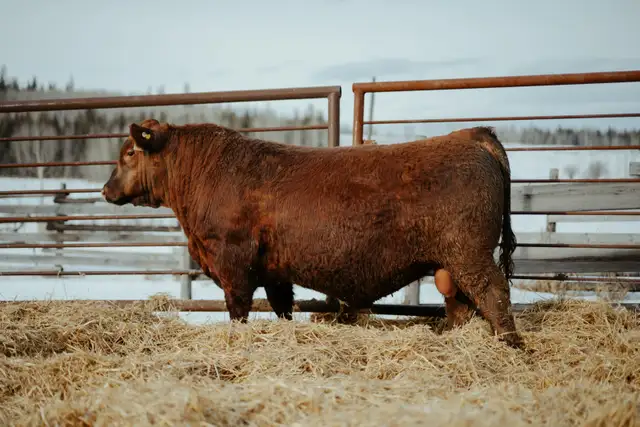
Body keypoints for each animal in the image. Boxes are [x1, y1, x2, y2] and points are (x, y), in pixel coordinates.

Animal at [101, 119, 523, 349]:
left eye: (129, 153)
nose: (105, 190)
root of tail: (471, 135)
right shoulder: (274, 273)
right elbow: (283, 308)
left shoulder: (233, 265)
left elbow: (238, 312)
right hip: (450, 264)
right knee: (461, 305)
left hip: (470, 255)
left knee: (495, 294)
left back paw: (510, 345)